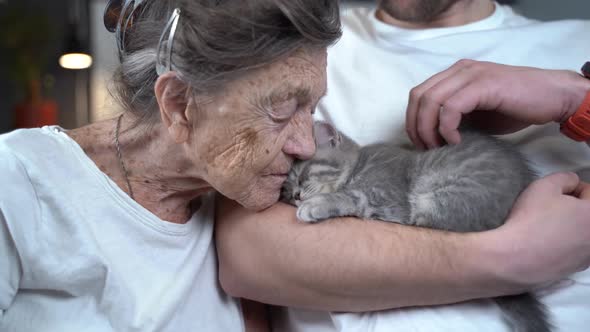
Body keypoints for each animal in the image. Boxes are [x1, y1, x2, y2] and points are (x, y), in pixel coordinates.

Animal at [282, 121, 556, 332]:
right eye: (286, 189)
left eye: (302, 174)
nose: (295, 195)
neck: (358, 166)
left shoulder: (388, 198)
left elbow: (349, 197)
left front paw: (316, 205)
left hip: (439, 198)